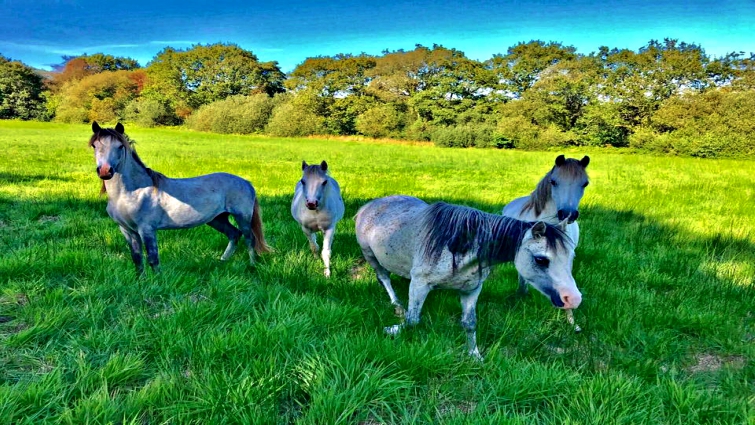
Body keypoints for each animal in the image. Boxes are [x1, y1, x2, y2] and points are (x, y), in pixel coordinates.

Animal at [88, 122, 270, 274]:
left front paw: (157, 283)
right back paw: (222, 261)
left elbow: (153, 259)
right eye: (95, 145)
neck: (132, 193)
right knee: (234, 234)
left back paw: (252, 265)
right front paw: (140, 281)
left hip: (242, 216)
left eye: (120, 146)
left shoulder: (147, 229)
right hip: (217, 219)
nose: (105, 171)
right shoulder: (126, 230)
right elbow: (137, 259)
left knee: (249, 238)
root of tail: (246, 182)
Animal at [355, 195, 581, 359]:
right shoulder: (420, 283)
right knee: (384, 278)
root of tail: (368, 206)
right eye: (541, 259)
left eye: (571, 256)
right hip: (370, 255)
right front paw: (393, 329)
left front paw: (474, 355)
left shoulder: (471, 289)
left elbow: (470, 323)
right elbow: (412, 320)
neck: (459, 246)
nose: (574, 299)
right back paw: (396, 304)